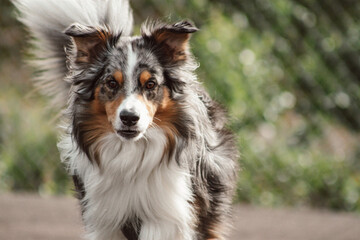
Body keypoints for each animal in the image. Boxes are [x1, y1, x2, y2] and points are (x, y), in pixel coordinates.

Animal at [13, 0, 239, 240]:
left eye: (150, 84)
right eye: (112, 83)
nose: (129, 118)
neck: (132, 155)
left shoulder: (169, 215)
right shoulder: (107, 220)